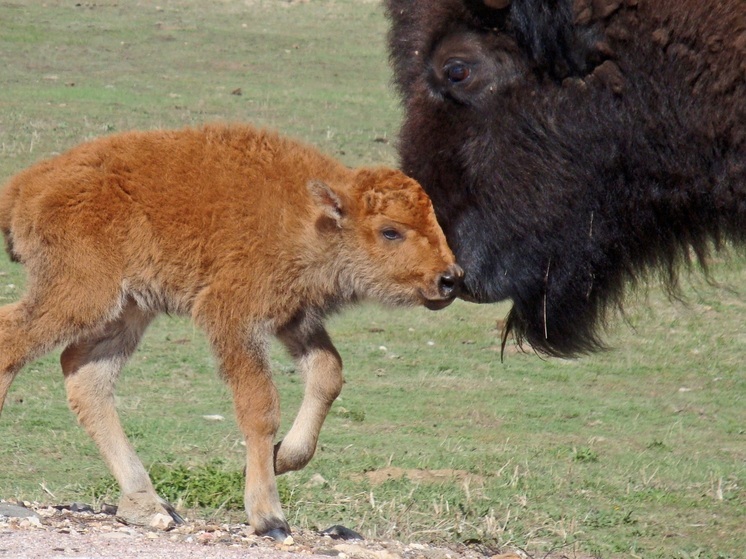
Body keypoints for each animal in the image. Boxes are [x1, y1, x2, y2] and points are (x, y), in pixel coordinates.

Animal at [0, 123, 462, 540]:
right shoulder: (233, 317)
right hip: (82, 295)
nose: (449, 279)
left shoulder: (292, 318)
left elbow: (328, 373)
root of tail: (26, 184)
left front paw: (281, 458)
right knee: (12, 339)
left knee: (85, 376)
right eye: (390, 231)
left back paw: (149, 504)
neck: (307, 215)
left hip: (130, 309)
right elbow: (260, 406)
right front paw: (269, 517)